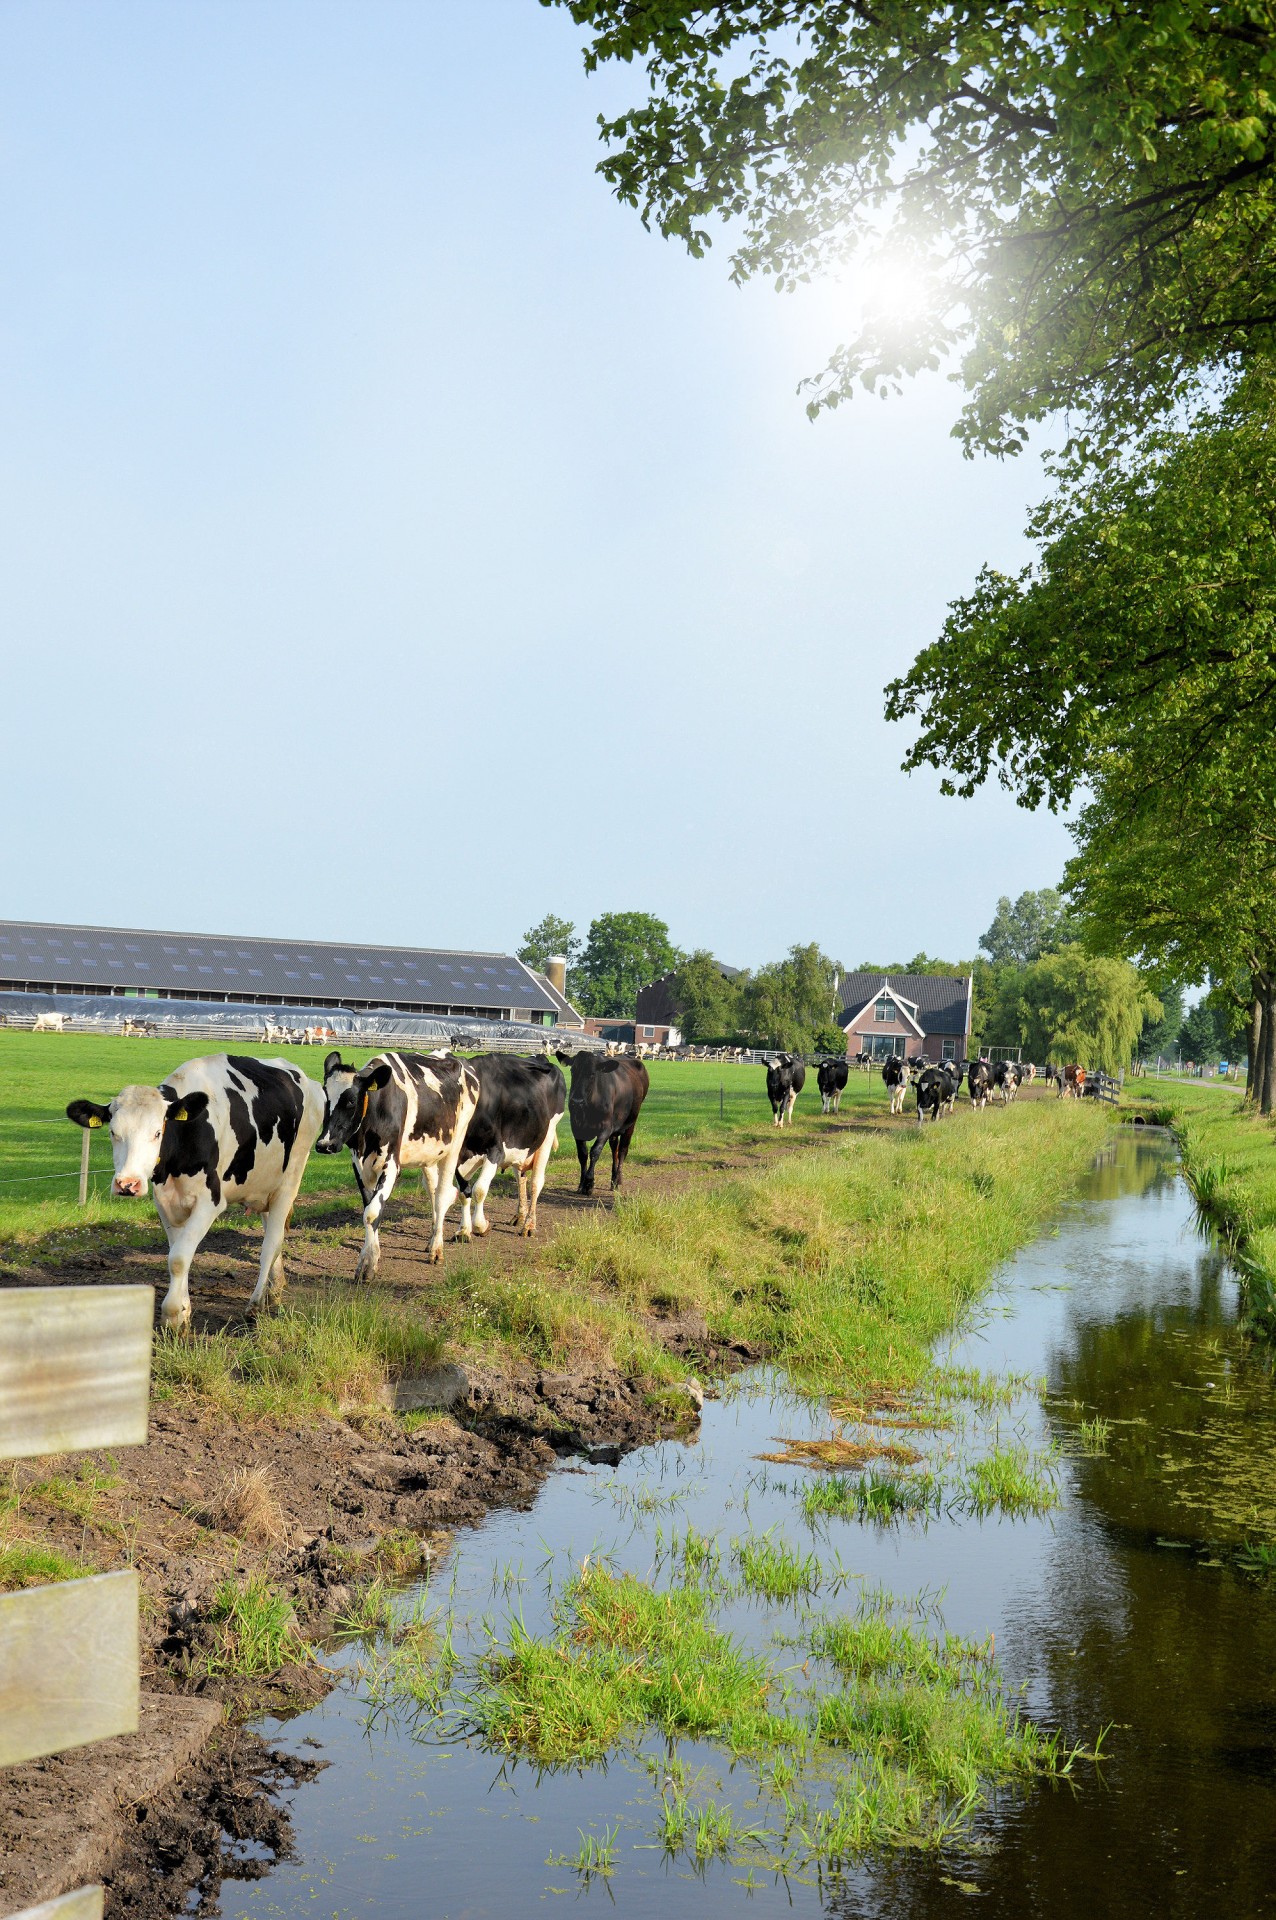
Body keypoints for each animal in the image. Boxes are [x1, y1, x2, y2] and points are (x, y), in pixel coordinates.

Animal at [65, 1052, 326, 1336]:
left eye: (157, 1132)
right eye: (113, 1132)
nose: (127, 1184)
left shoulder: (210, 1202)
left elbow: (179, 1258)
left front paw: (171, 1316)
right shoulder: (164, 1202)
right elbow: (178, 1254)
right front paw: (184, 1312)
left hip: (290, 1179)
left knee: (271, 1244)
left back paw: (255, 1306)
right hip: (265, 1184)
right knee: (272, 1234)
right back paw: (274, 1291)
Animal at [316, 1052, 479, 1274]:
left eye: (351, 1101)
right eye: (325, 1097)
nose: (324, 1144)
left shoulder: (391, 1164)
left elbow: (372, 1212)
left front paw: (367, 1264)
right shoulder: (359, 1165)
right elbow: (370, 1208)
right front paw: (372, 1256)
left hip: (454, 1145)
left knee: (443, 1195)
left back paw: (437, 1249)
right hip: (428, 1155)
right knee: (433, 1191)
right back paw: (431, 1239)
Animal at [450, 1059, 564, 1236]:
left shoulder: (495, 1151)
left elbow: (479, 1189)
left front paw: (481, 1226)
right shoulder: (461, 1157)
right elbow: (463, 1192)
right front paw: (463, 1231)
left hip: (547, 1135)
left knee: (536, 1182)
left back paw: (529, 1225)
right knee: (520, 1179)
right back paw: (520, 1216)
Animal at [552, 1052, 648, 1198]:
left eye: (592, 1074)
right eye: (573, 1071)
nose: (576, 1101)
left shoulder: (605, 1128)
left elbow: (595, 1151)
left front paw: (589, 1183)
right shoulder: (576, 1128)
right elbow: (582, 1154)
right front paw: (581, 1184)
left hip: (631, 1123)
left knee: (623, 1150)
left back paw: (618, 1180)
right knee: (614, 1148)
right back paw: (613, 1180)